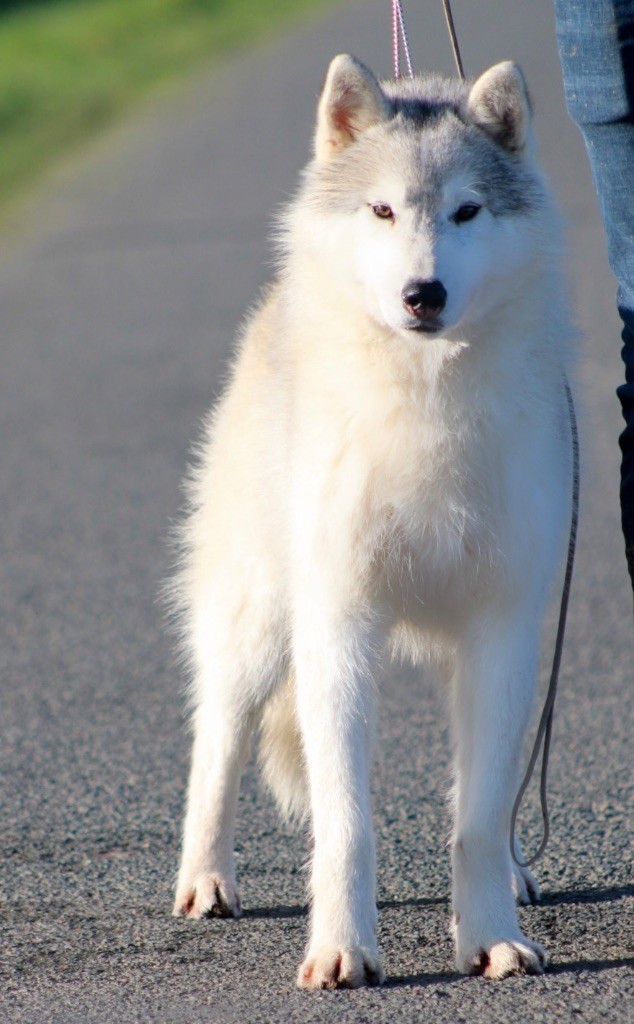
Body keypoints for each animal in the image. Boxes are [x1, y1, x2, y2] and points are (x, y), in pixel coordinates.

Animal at [170, 54, 573, 983]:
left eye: (467, 210)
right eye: (383, 210)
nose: (423, 294)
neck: (424, 400)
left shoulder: (501, 632)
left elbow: (477, 815)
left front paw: (490, 935)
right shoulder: (338, 628)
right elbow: (346, 823)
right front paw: (343, 951)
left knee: (484, 794)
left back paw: (513, 873)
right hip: (258, 626)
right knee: (217, 745)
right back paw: (205, 879)